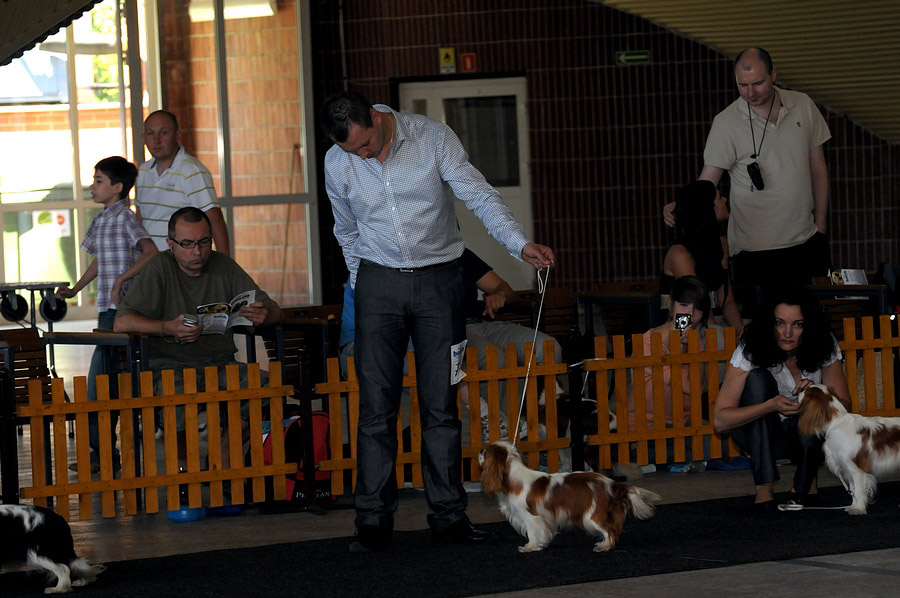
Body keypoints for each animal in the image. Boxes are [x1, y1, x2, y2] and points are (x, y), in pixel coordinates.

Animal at [478, 441, 660, 552]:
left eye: (486, 452)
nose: (480, 449)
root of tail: (613, 484)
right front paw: (540, 544)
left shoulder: (531, 516)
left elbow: (532, 532)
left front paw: (530, 547)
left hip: (592, 516)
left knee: (610, 531)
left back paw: (604, 546)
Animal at [798, 383, 900, 515]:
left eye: (805, 391)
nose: (799, 389)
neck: (837, 422)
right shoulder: (848, 469)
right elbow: (853, 490)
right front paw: (853, 505)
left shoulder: (856, 470)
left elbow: (859, 491)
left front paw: (859, 509)